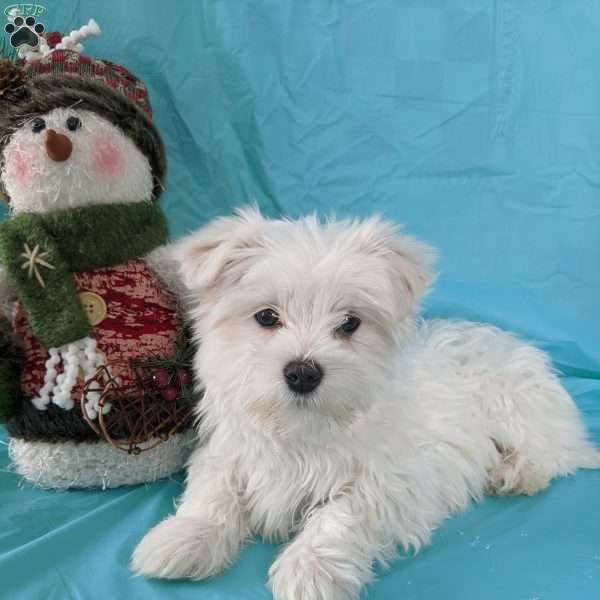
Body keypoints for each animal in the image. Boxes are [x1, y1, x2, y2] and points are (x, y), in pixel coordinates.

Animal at [132, 207, 600, 600]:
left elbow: (341, 515)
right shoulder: (228, 451)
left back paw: (515, 472)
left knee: (551, 453)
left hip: (516, 405)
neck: (301, 427)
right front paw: (184, 538)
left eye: (350, 323)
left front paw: (309, 569)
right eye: (266, 317)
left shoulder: (393, 481)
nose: (303, 373)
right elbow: (214, 491)